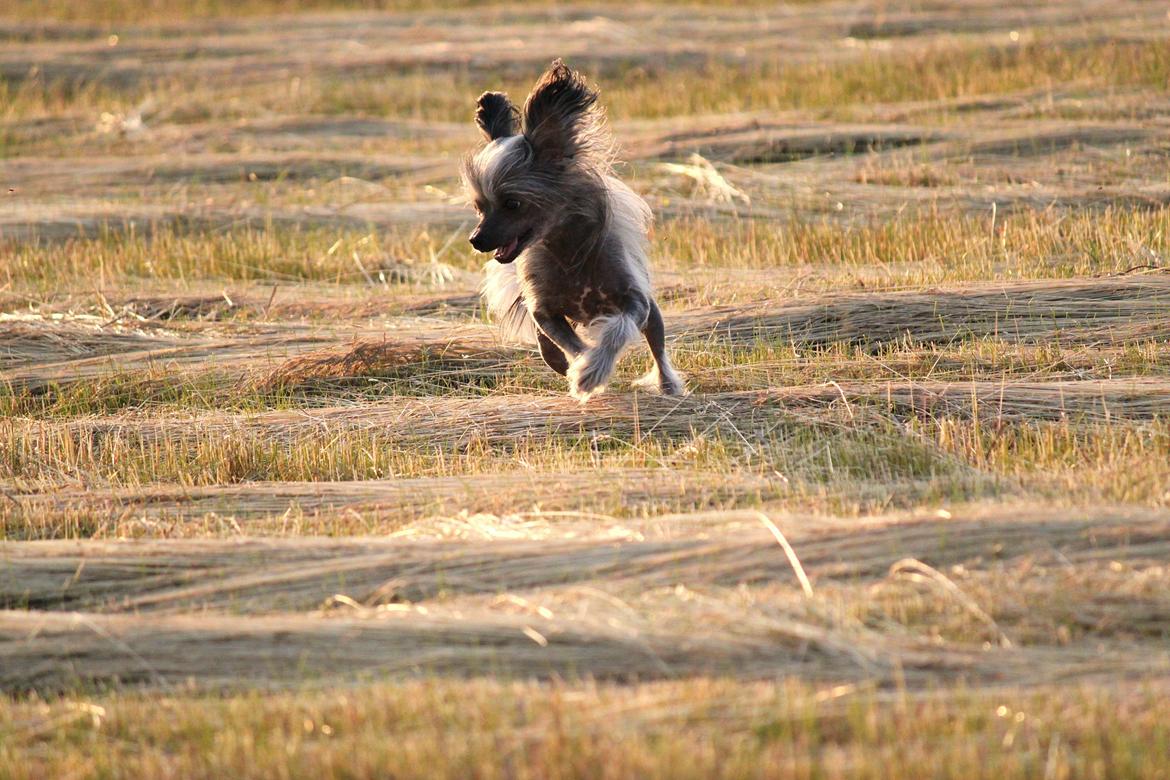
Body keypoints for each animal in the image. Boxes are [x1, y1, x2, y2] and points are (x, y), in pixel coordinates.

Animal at [460, 60, 683, 399]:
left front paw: (591, 373)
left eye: (512, 203)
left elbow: (616, 332)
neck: (568, 251)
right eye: (478, 206)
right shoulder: (544, 311)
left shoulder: (634, 303)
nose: (476, 240)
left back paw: (668, 386)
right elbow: (571, 344)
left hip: (652, 315)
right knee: (548, 347)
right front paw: (582, 368)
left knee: (657, 348)